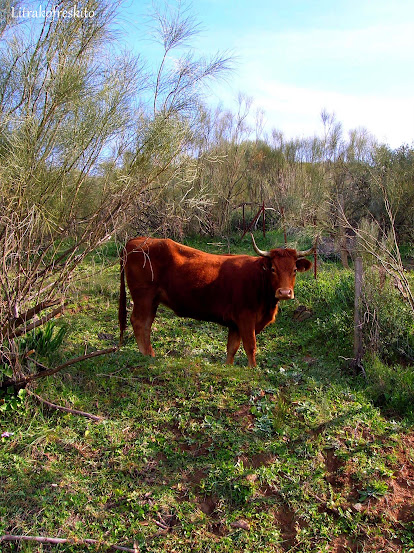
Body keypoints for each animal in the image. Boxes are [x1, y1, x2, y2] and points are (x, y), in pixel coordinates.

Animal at [118, 234, 316, 366]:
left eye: (294, 270)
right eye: (273, 269)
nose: (284, 292)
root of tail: (136, 241)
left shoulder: (235, 324)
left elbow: (232, 348)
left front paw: (229, 368)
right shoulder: (246, 318)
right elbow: (250, 346)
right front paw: (253, 369)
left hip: (152, 300)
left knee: (146, 325)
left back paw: (150, 354)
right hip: (144, 296)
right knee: (139, 322)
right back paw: (146, 356)